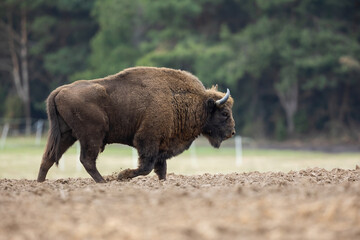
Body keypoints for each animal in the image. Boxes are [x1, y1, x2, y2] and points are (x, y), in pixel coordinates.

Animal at [37, 66, 236, 183]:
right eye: (224, 113)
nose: (232, 132)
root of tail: (60, 90)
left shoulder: (161, 146)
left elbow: (161, 169)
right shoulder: (148, 140)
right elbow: (146, 167)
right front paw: (122, 175)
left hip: (66, 134)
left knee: (48, 157)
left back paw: (40, 184)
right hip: (91, 135)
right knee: (86, 160)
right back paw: (104, 182)